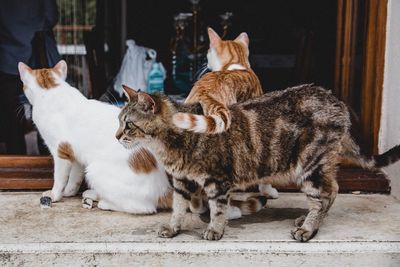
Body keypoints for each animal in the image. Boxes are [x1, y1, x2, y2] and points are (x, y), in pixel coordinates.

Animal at [17, 60, 171, 214]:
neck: (51, 90)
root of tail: (164, 190)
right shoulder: (75, 155)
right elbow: (74, 178)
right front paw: (69, 192)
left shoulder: (60, 152)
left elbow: (60, 179)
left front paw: (55, 195)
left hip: (94, 170)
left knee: (143, 208)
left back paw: (105, 203)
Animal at [116, 85, 400, 243]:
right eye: (119, 121)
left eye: (128, 124)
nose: (116, 136)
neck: (168, 146)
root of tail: (336, 100)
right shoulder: (181, 182)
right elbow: (177, 209)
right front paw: (173, 228)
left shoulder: (217, 181)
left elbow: (217, 210)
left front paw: (214, 230)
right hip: (321, 164)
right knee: (333, 190)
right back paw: (308, 221)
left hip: (309, 164)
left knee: (323, 195)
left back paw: (308, 229)